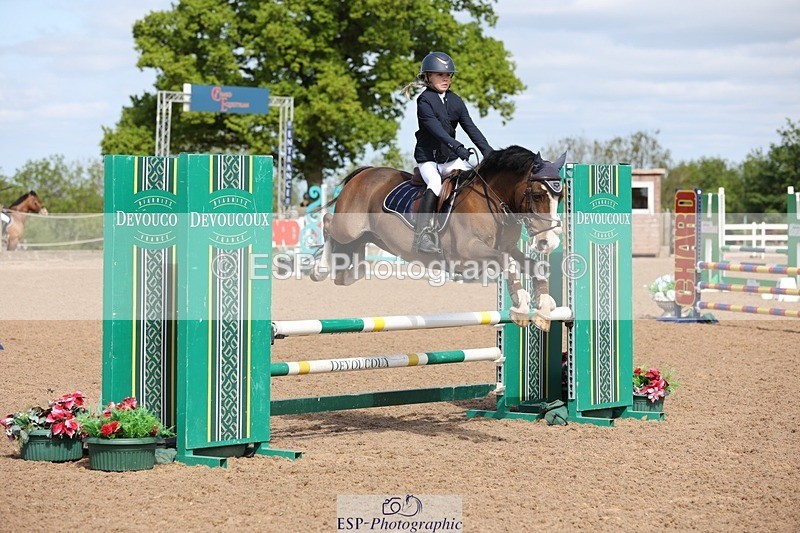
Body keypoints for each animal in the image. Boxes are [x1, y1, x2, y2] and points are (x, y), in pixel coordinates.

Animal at [310, 145, 566, 330]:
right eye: (537, 195)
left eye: (560, 196)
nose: (549, 242)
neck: (491, 201)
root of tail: (364, 173)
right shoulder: (467, 253)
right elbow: (507, 261)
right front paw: (521, 304)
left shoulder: (509, 248)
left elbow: (533, 265)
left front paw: (544, 307)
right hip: (348, 227)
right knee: (328, 223)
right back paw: (319, 270)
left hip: (369, 235)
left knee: (357, 252)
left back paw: (349, 273)